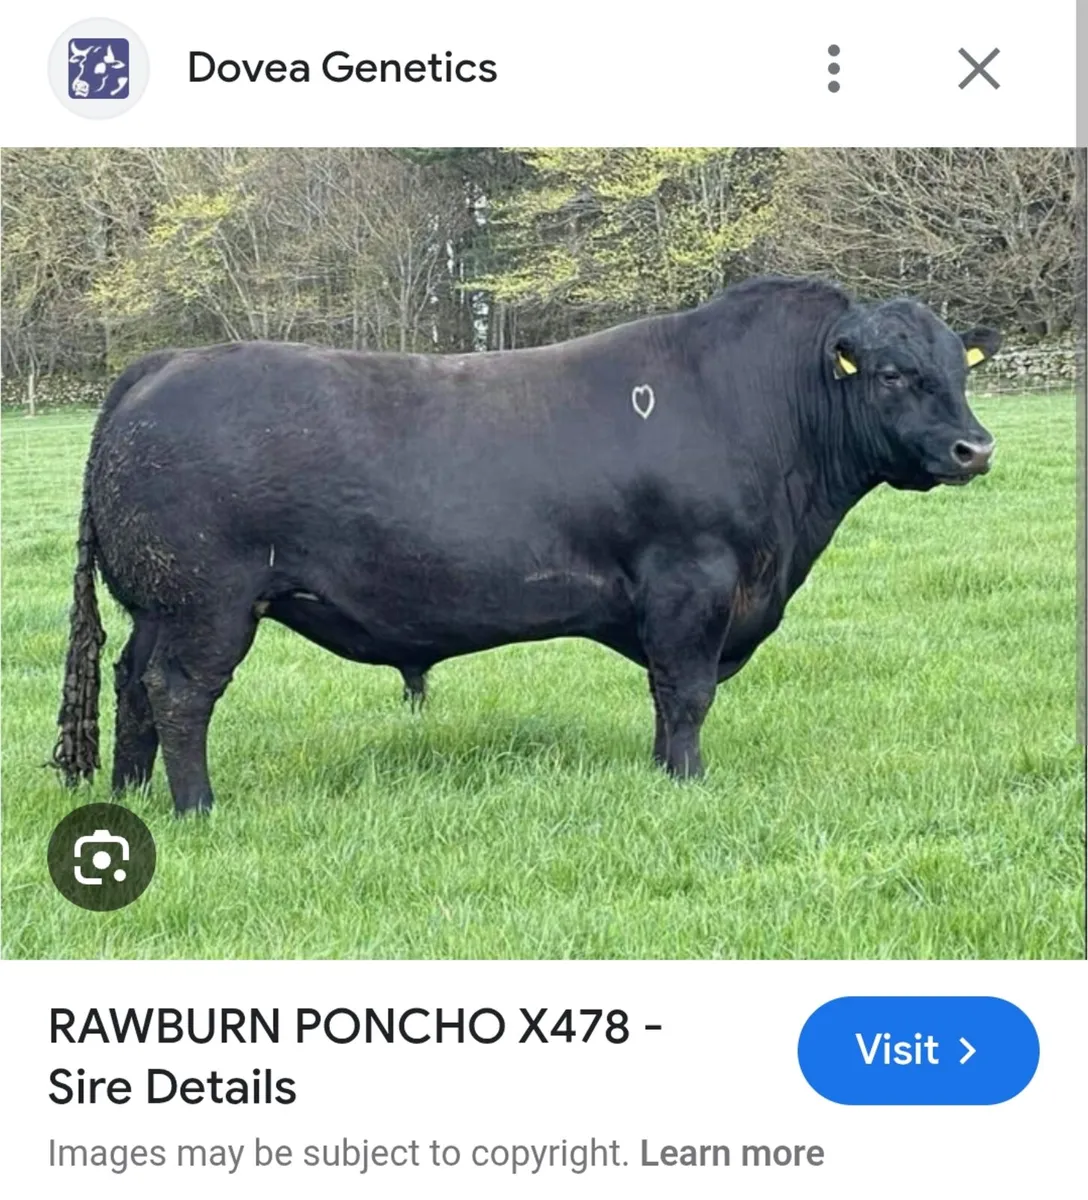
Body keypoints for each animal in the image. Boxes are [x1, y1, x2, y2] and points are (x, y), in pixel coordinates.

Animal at [54, 276, 1000, 815]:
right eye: (892, 374)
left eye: (961, 368)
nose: (975, 449)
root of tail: (166, 363)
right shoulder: (691, 584)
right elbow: (686, 694)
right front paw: (686, 783)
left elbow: (667, 698)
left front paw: (663, 771)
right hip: (206, 604)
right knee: (179, 694)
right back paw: (196, 807)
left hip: (157, 606)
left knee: (132, 684)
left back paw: (131, 793)